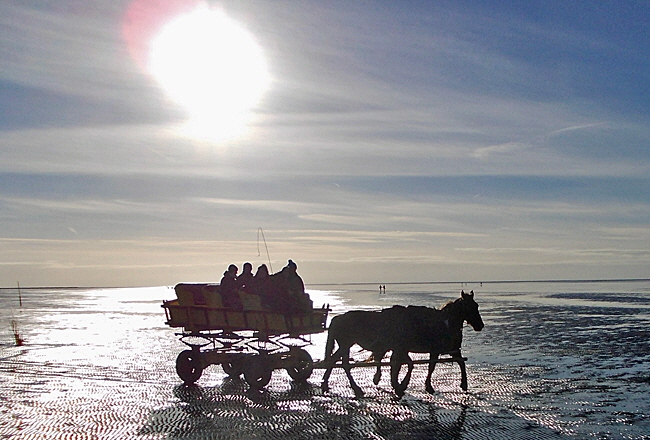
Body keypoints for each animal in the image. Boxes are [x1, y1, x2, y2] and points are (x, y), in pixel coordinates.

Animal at [318, 290, 480, 398]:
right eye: (471, 307)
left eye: (476, 305)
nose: (480, 325)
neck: (443, 323)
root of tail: (338, 318)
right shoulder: (427, 350)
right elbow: (420, 366)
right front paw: (407, 385)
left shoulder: (448, 349)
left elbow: (459, 362)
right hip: (347, 344)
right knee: (345, 364)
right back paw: (356, 388)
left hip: (345, 345)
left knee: (334, 359)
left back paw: (326, 381)